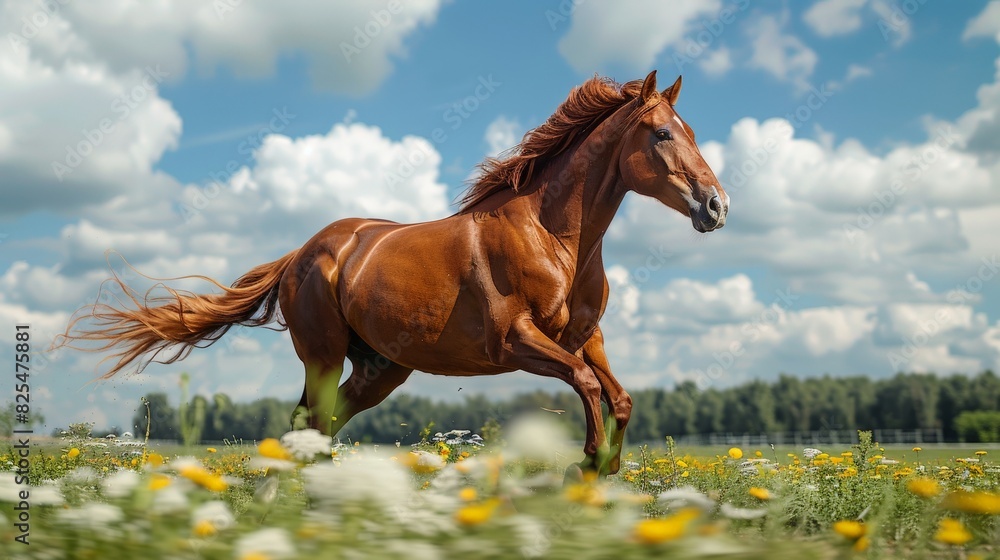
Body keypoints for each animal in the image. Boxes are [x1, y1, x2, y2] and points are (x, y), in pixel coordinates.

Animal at [57, 71, 728, 475]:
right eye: (662, 134)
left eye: (691, 131)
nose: (717, 206)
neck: (554, 238)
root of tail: (302, 254)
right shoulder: (516, 341)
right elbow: (588, 388)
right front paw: (583, 464)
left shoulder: (586, 338)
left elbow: (620, 397)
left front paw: (602, 469)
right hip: (325, 357)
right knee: (310, 423)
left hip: (380, 369)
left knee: (316, 426)